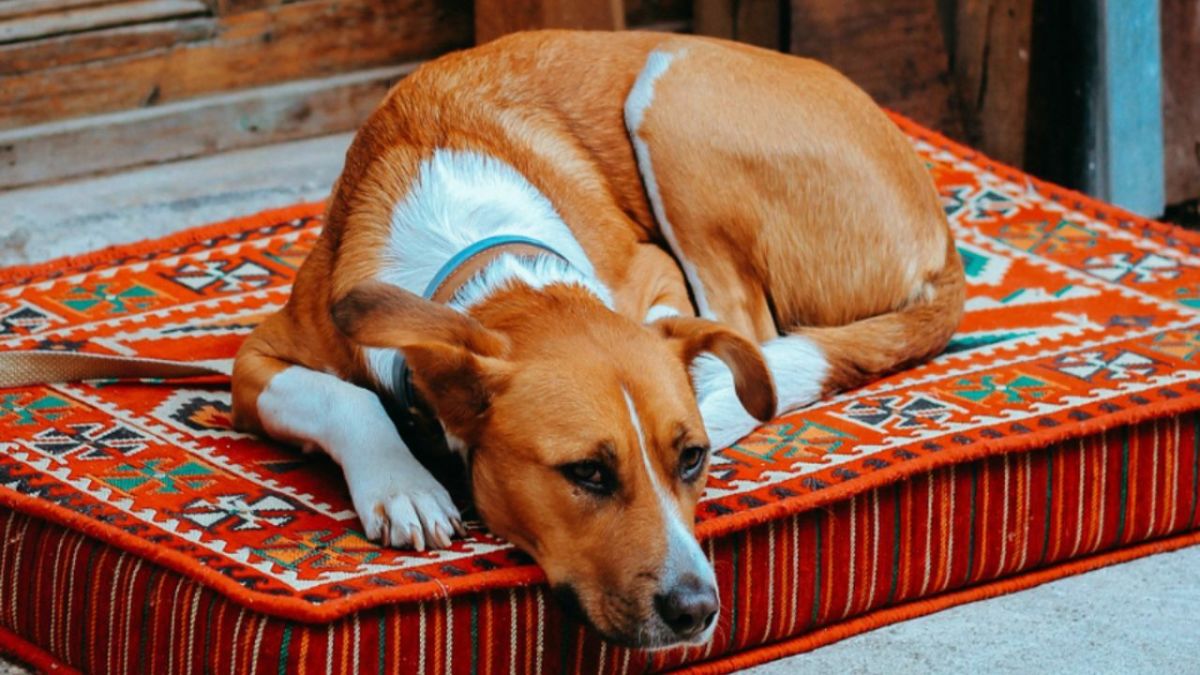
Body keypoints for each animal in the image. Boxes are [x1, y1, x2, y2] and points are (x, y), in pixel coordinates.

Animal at [231, 30, 964, 648]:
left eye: (691, 459)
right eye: (586, 472)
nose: (698, 608)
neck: (481, 255)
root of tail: (944, 240)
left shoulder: (652, 270)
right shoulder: (253, 363)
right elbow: (346, 397)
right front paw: (402, 484)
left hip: (672, 97)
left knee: (746, 330)